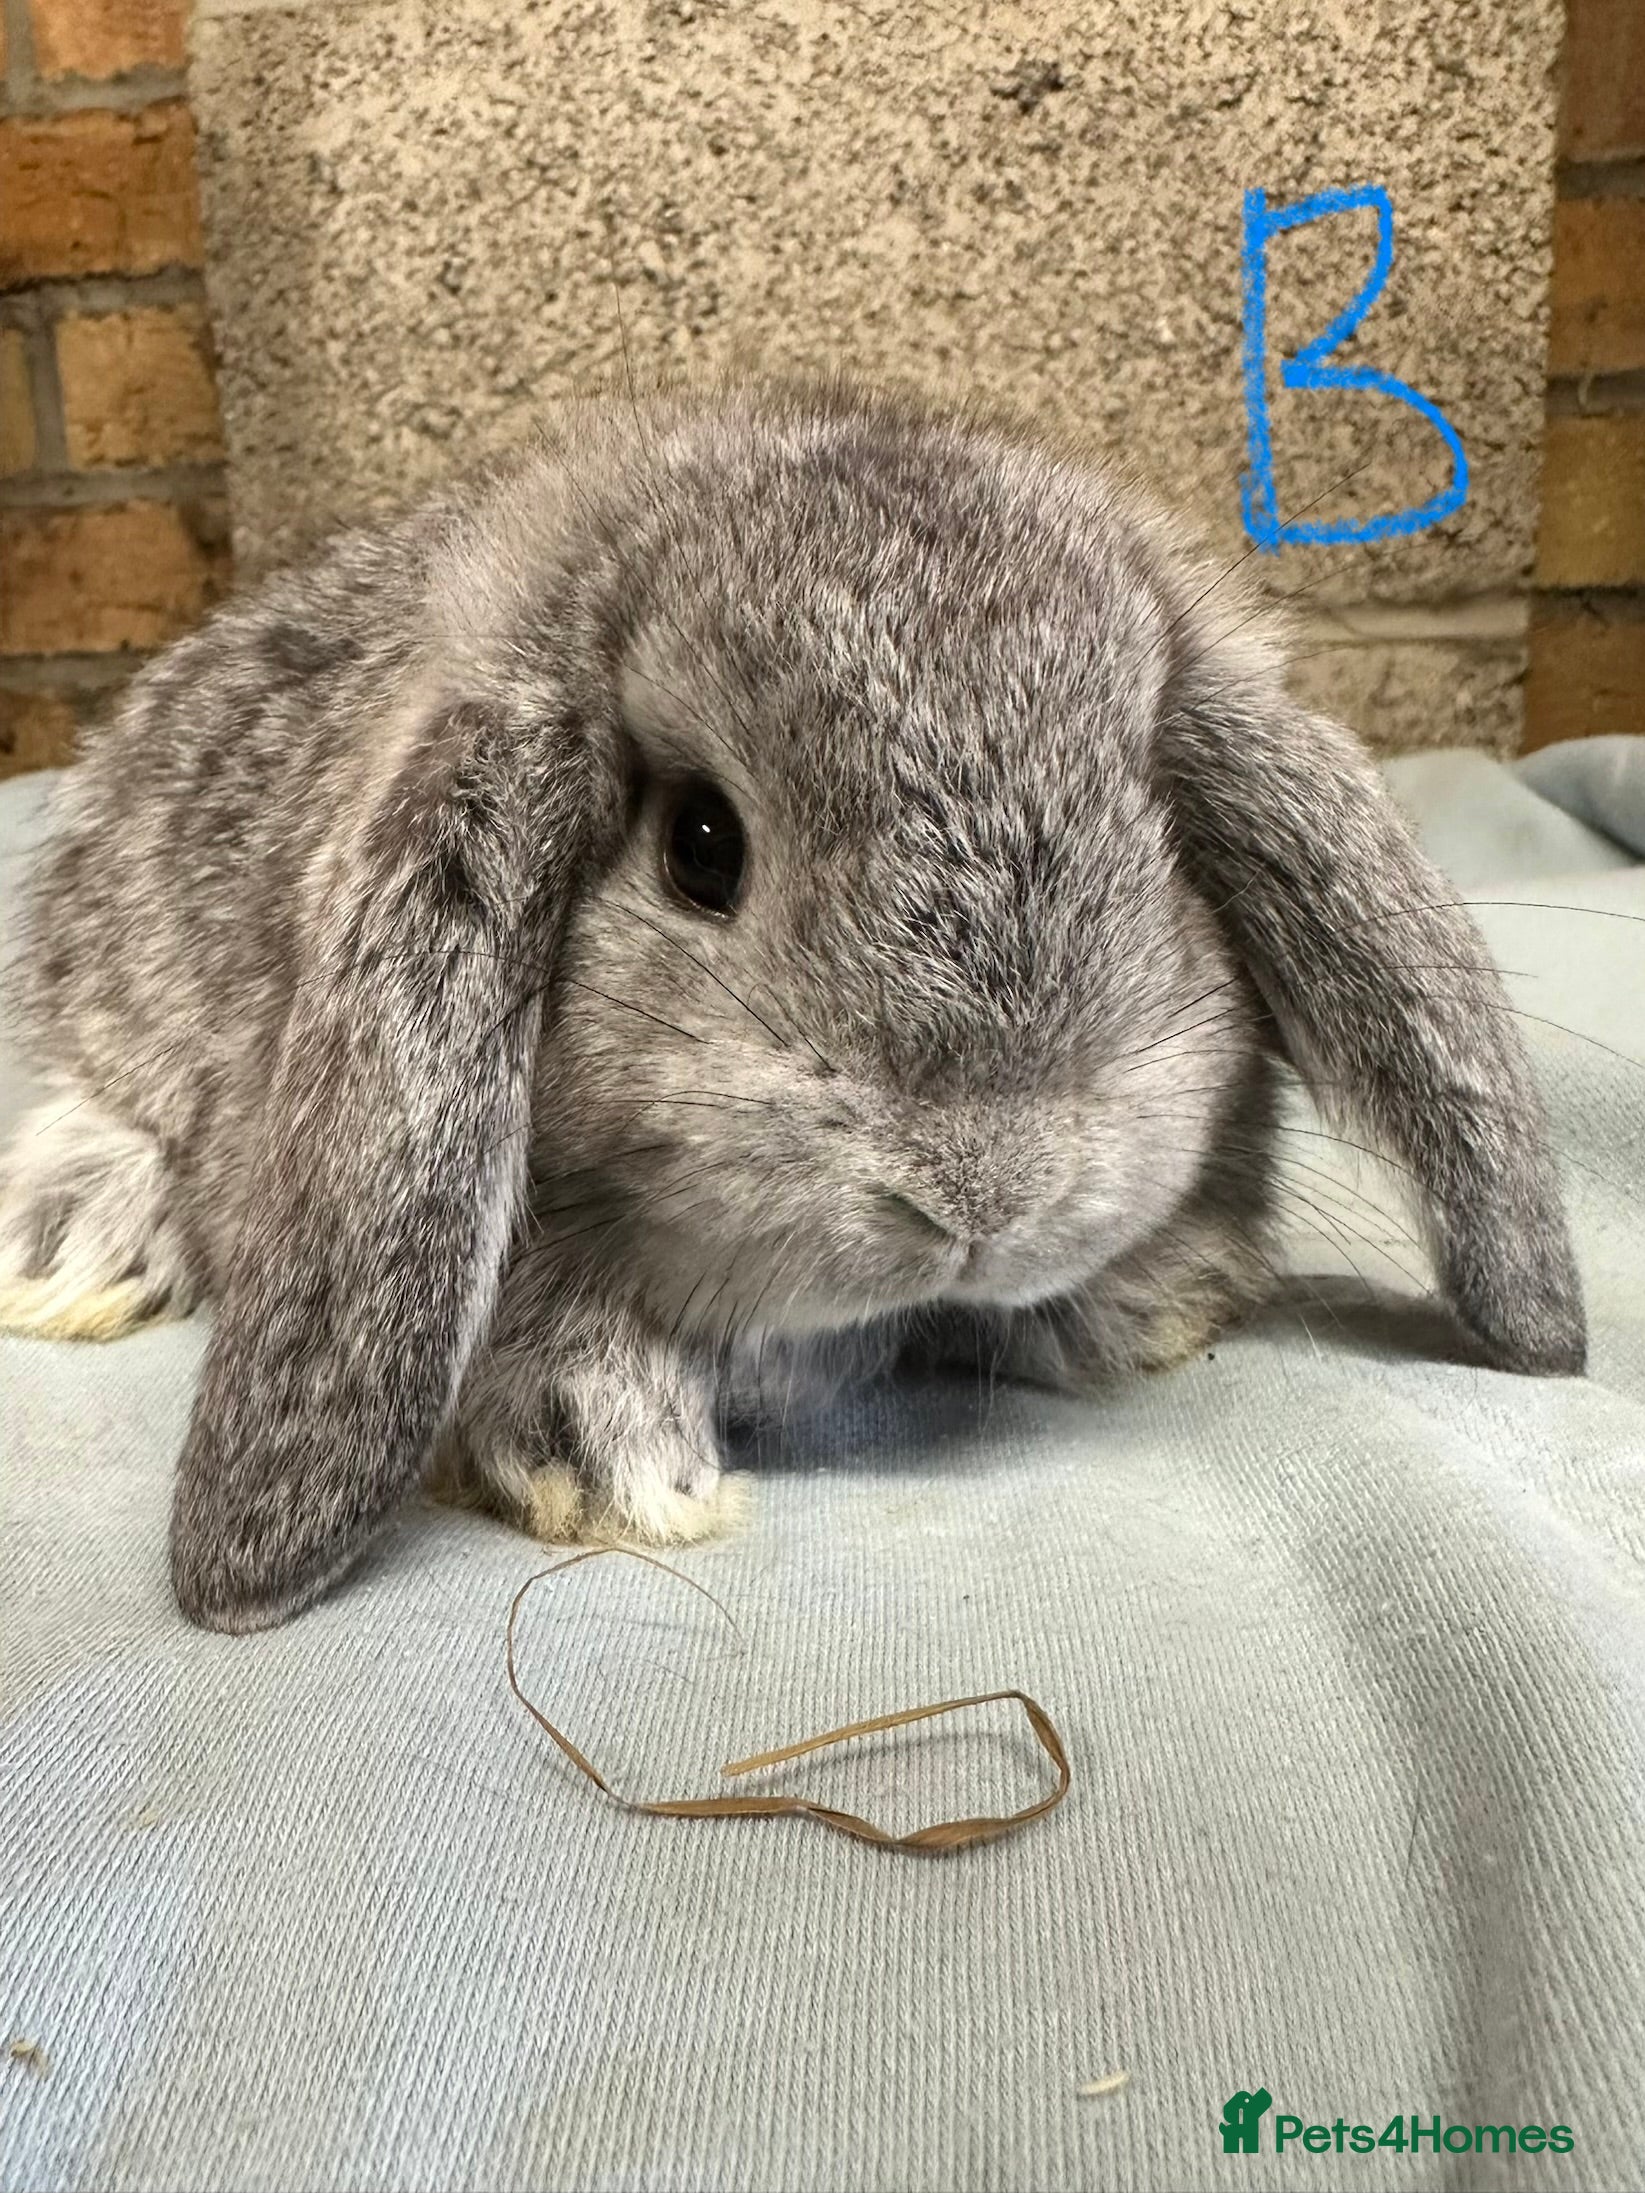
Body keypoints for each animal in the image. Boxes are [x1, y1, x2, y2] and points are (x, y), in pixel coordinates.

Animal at [0, 377, 1585, 1633]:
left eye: (1166, 848)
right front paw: (611, 1453)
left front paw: (1153, 1299)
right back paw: (70, 1241)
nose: (981, 1193)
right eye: (701, 845)